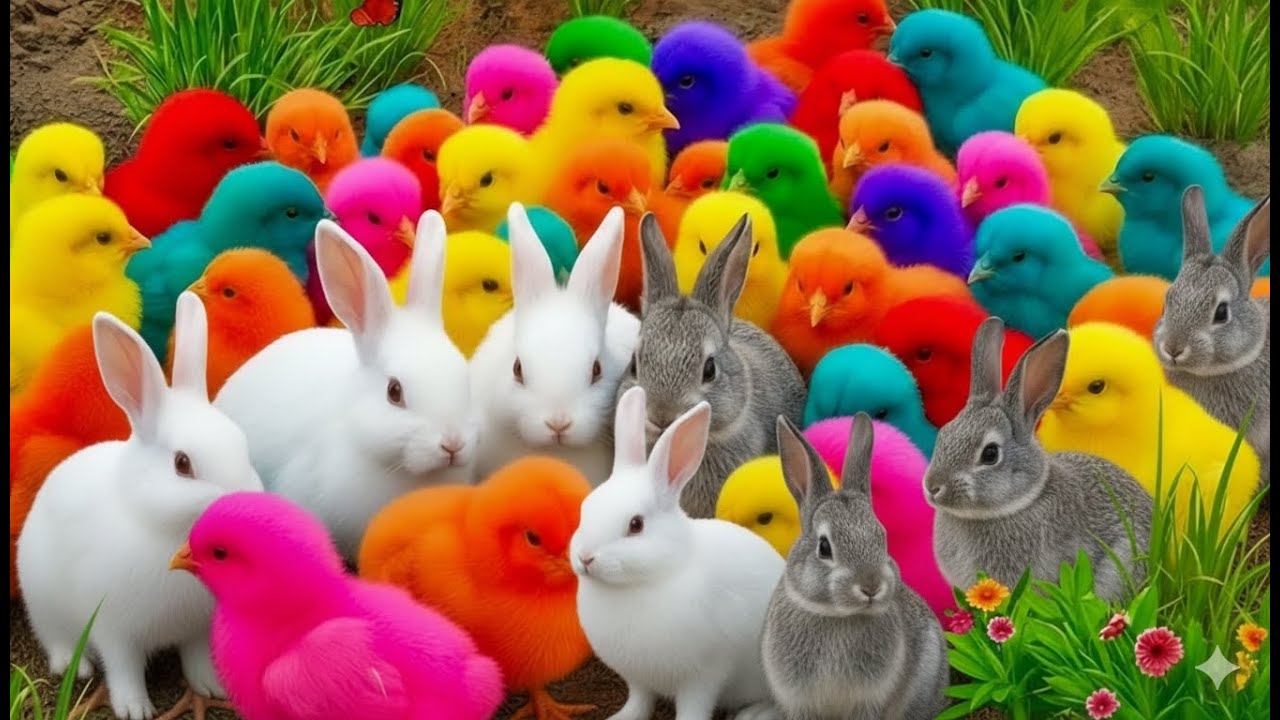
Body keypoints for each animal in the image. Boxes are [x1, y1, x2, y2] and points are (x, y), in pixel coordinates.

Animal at [17, 293, 263, 720]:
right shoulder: (115, 631)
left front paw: (209, 686)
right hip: (42, 597)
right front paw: (135, 709)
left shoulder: (196, 628)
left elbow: (195, 658)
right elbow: (124, 670)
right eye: (182, 464)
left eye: (243, 447)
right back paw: (75, 666)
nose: (241, 506)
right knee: (53, 634)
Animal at [571, 386, 785, 720]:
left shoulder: (703, 678)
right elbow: (639, 700)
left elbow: (693, 708)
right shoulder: (637, 678)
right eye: (586, 509)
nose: (585, 558)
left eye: (635, 525)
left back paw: (756, 713)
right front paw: (622, 716)